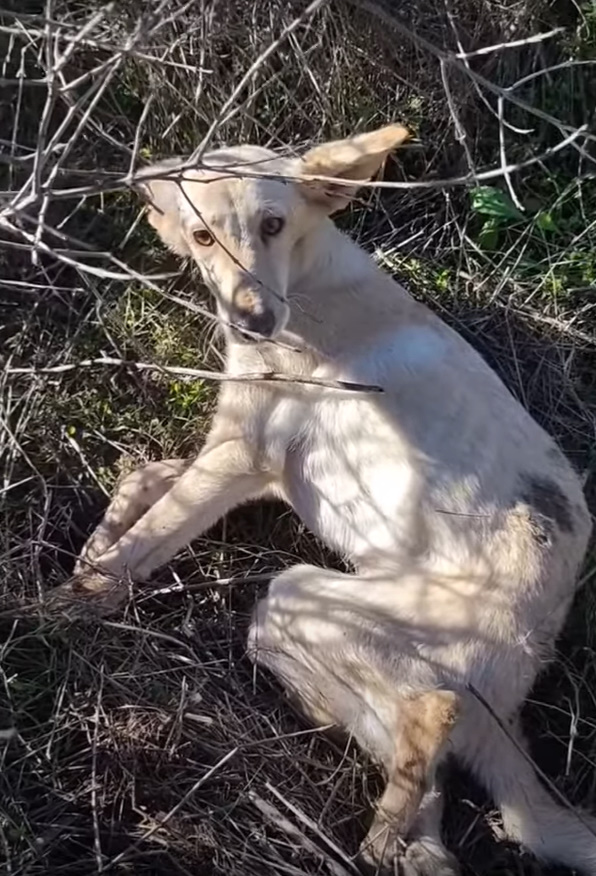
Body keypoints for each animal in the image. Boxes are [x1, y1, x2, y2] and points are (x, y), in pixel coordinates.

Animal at [62, 125, 592, 876]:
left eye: (273, 225)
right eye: (201, 237)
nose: (253, 321)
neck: (308, 283)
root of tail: (523, 672)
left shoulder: (239, 457)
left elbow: (135, 549)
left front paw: (53, 609)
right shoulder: (247, 464)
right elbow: (139, 481)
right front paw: (93, 549)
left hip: (304, 597)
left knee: (428, 719)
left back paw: (390, 811)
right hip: (310, 635)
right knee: (431, 793)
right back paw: (403, 840)